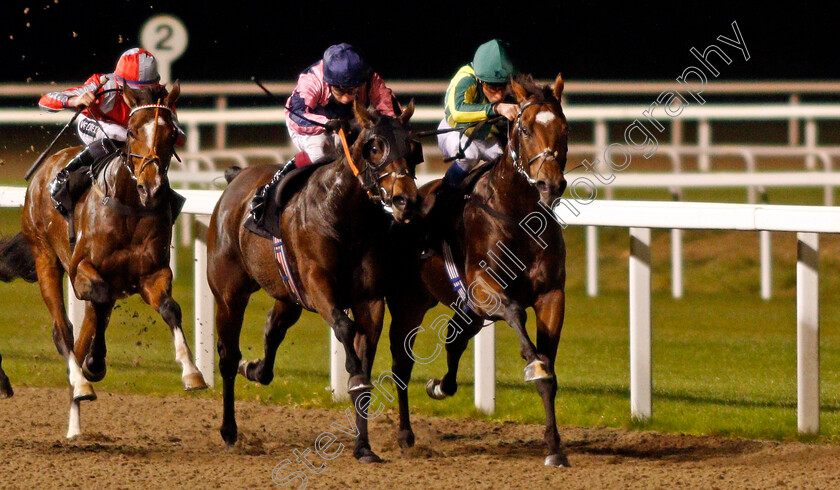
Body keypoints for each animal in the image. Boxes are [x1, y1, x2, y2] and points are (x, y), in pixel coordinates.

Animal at [16, 82, 207, 438]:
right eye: (131, 132)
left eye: (172, 133)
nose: (150, 186)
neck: (129, 206)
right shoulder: (81, 270)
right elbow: (98, 301)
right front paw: (94, 365)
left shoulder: (152, 274)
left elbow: (170, 308)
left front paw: (192, 371)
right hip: (44, 256)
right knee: (63, 329)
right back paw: (81, 384)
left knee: (85, 331)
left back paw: (76, 416)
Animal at [208, 100, 424, 464]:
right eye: (375, 146)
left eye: (411, 147)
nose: (405, 201)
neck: (344, 215)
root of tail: (237, 177)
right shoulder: (318, 284)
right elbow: (345, 329)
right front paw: (353, 376)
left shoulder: (370, 300)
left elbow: (366, 353)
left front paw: (364, 446)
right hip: (228, 293)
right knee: (227, 356)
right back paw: (228, 431)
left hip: (287, 296)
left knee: (272, 330)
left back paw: (255, 369)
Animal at [388, 73, 572, 468]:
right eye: (525, 128)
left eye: (564, 128)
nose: (550, 184)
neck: (519, 217)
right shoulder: (485, 289)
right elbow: (517, 315)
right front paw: (532, 363)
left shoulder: (551, 295)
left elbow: (548, 370)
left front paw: (555, 448)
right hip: (410, 305)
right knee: (401, 364)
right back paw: (405, 434)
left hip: (467, 310)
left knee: (454, 340)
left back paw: (440, 386)